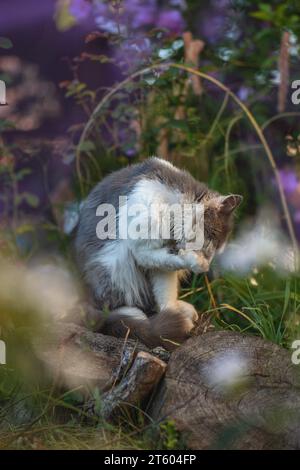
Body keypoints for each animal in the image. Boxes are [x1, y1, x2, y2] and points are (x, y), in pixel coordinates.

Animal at [74, 158, 241, 348]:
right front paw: (197, 263)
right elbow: (174, 259)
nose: (209, 259)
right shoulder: (142, 250)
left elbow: (165, 290)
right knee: (108, 309)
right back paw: (134, 315)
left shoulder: (160, 265)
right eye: (212, 237)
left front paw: (174, 314)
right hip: (113, 266)